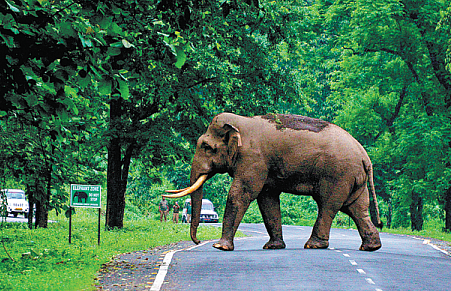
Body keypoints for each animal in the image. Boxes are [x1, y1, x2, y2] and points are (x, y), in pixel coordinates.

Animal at [164, 113, 384, 252]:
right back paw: (370, 247)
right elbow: (267, 199)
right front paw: (273, 247)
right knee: (356, 208)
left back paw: (313, 245)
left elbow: (242, 193)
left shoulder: (253, 158)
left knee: (328, 205)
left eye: (207, 147)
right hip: (353, 178)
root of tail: (365, 156)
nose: (197, 240)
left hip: (337, 175)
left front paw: (220, 247)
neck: (241, 122)